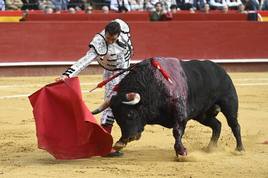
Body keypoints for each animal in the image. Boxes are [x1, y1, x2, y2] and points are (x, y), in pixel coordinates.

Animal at [93, 57, 244, 156]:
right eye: (117, 117)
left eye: (130, 114)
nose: (126, 138)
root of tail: (220, 70)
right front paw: (119, 144)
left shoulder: (180, 114)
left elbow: (177, 131)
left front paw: (181, 152)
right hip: (202, 114)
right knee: (217, 125)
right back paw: (210, 148)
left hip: (229, 103)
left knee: (234, 125)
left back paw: (240, 149)